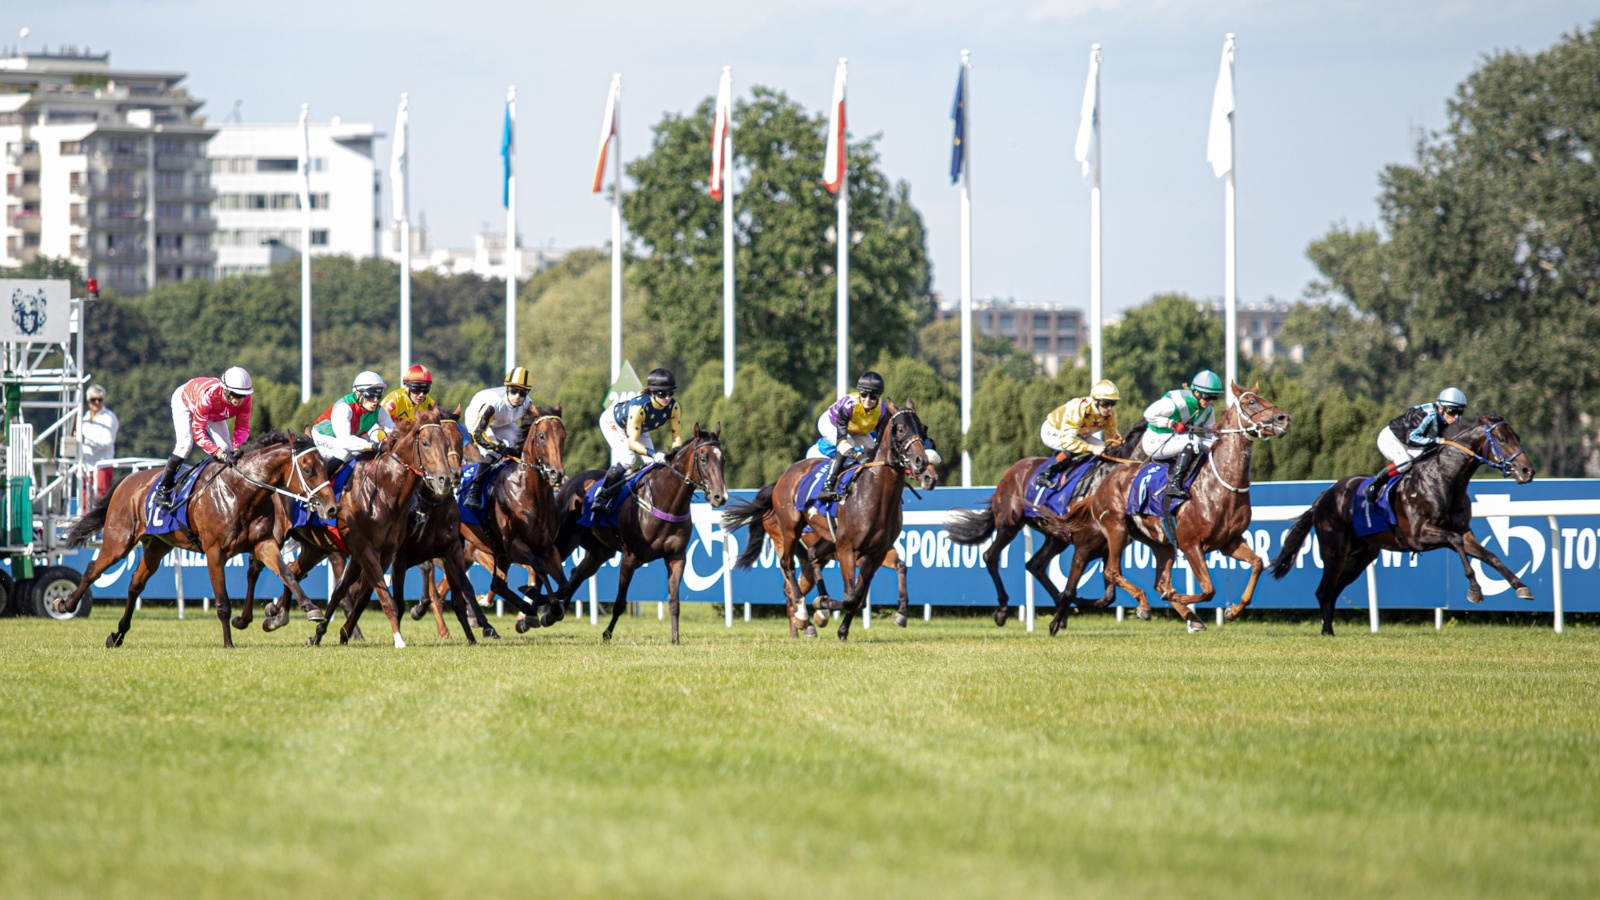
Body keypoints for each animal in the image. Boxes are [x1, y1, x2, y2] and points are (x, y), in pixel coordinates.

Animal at [57, 429, 340, 643]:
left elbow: (288, 573)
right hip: (119, 541)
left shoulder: (264, 543)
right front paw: (228, 644)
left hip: (157, 546)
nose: (331, 508)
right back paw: (66, 605)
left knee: (135, 584)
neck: (240, 492)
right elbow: (222, 602)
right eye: (308, 469)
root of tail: (128, 480)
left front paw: (311, 609)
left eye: (325, 467)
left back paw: (117, 634)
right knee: (93, 569)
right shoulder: (214, 553)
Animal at [550, 422, 726, 640]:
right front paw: (607, 634)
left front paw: (675, 639)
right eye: (703, 458)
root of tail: (570, 483)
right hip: (565, 540)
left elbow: (674, 602)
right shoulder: (630, 558)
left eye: (723, 459)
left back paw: (553, 613)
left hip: (600, 551)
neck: (663, 501)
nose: (720, 497)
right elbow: (619, 603)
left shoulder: (677, 557)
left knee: (576, 576)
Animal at [723, 398, 934, 637]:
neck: (875, 494)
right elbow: (851, 597)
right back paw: (803, 617)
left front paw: (895, 615)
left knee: (812, 558)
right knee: (788, 569)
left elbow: (865, 593)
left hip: (825, 541)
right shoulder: (847, 549)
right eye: (900, 428)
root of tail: (783, 476)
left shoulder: (876, 552)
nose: (921, 463)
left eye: (923, 428)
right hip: (789, 530)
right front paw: (821, 608)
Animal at [1062, 381, 1286, 627]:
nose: (1283, 418)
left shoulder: (1230, 541)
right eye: (1251, 402)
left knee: (1160, 582)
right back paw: (1146, 605)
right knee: (1112, 572)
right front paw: (1179, 597)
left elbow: (1257, 563)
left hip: (1161, 543)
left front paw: (1232, 611)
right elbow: (1208, 589)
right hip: (1116, 529)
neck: (1220, 486)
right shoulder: (1191, 544)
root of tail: (1101, 486)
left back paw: (1188, 616)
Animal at [1273, 409, 1536, 634]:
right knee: (1323, 592)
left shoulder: (1465, 532)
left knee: (1333, 591)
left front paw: (1521, 586)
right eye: (1501, 438)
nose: (1527, 471)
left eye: (1518, 437)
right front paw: (1475, 590)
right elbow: (1455, 542)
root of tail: (1325, 495)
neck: (1444, 480)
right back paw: (1327, 630)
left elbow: (1490, 556)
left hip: (1361, 557)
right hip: (1334, 551)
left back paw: (1329, 628)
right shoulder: (1419, 536)